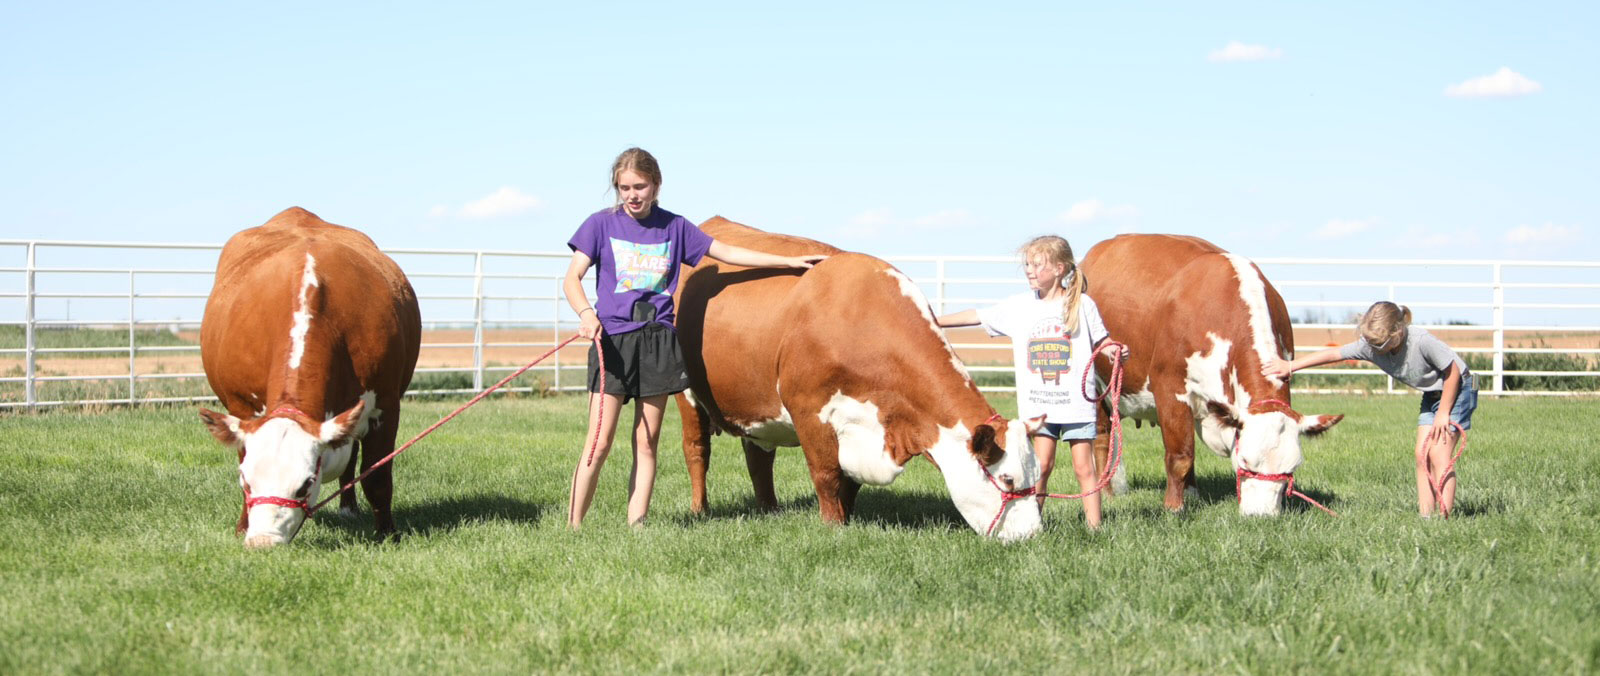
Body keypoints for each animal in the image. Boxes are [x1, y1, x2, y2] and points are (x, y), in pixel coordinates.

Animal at [198, 207, 421, 548]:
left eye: (304, 485)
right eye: (247, 482)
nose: (262, 542)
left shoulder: (385, 404)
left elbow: (377, 476)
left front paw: (387, 534)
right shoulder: (242, 409)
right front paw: (241, 526)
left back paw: (348, 508)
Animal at [673, 217, 1044, 540]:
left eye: (1038, 475)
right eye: (1008, 480)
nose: (1032, 535)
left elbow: (849, 481)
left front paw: (847, 519)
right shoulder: (808, 409)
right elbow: (826, 474)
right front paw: (832, 526)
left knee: (759, 457)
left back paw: (769, 510)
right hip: (688, 395)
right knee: (697, 451)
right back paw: (699, 509)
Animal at [1080, 234, 1343, 516]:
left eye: (1291, 469)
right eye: (1245, 460)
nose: (1261, 516)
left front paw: (1188, 496)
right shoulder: (1170, 388)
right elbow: (1180, 456)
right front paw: (1173, 507)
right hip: (1098, 389)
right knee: (1102, 440)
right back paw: (1107, 494)